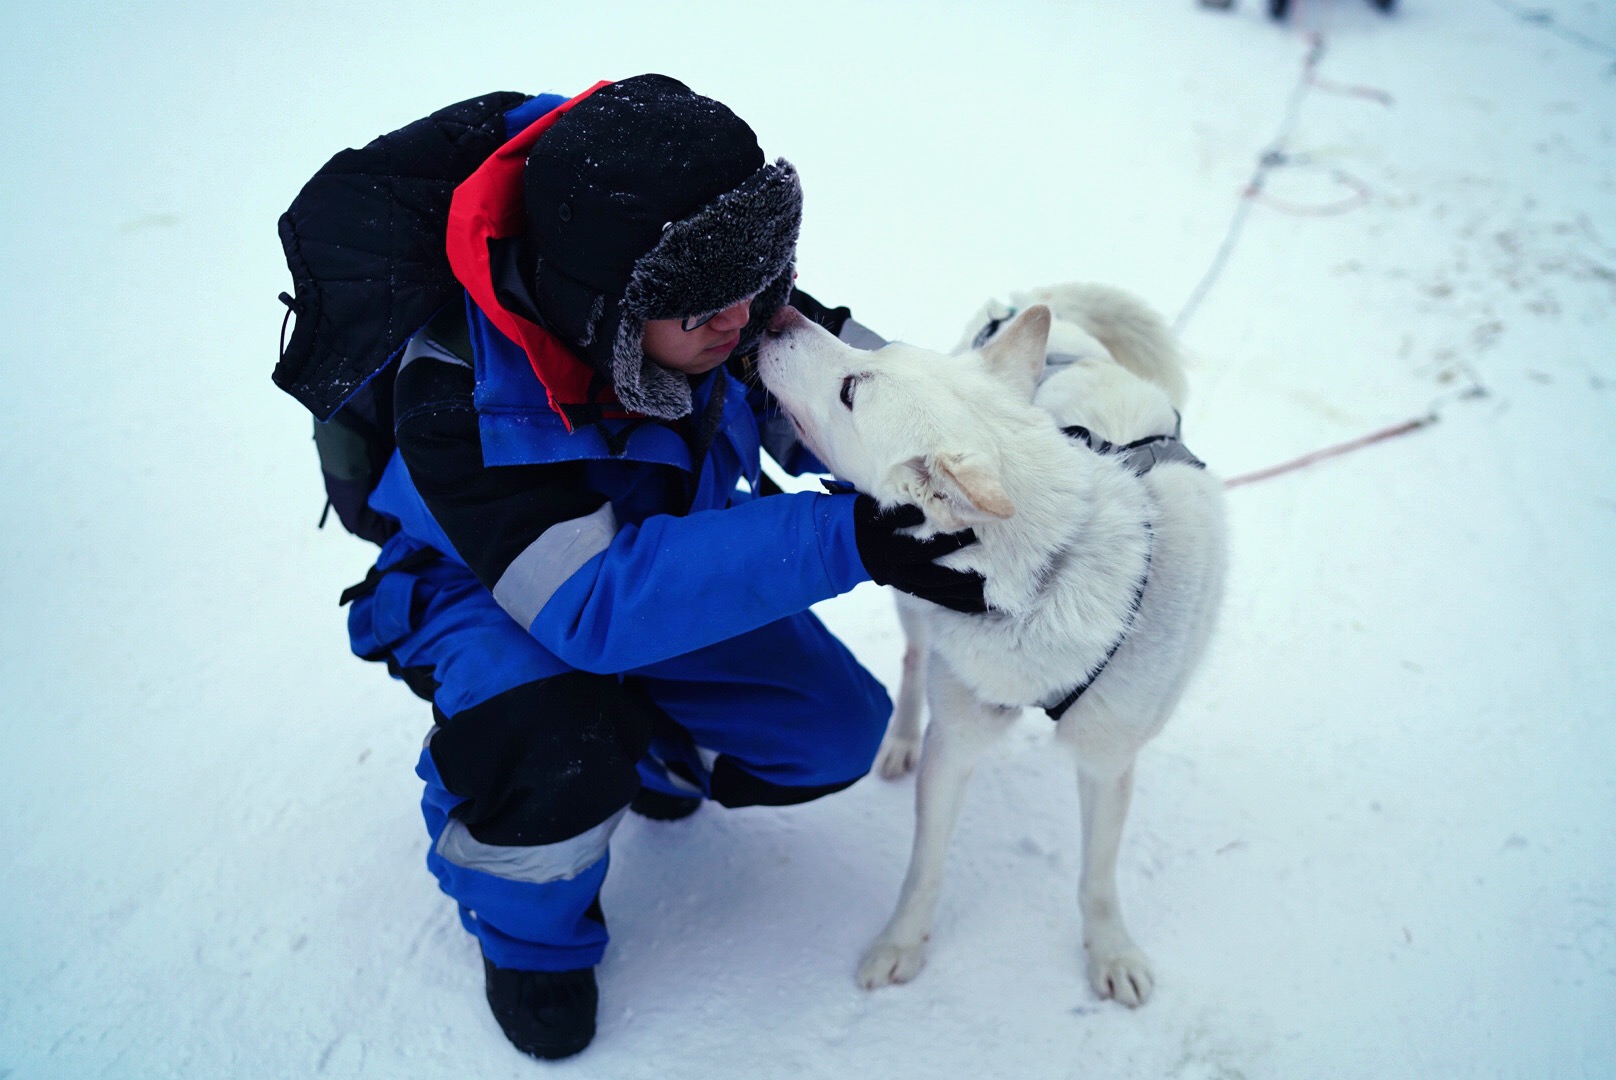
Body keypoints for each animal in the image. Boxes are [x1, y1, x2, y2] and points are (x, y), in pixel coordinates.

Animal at [756, 281, 1221, 1002]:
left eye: (851, 388)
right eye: (876, 354)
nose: (777, 311)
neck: (1049, 582)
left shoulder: (1106, 757)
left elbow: (1097, 877)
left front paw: (1110, 951)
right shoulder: (956, 739)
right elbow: (924, 868)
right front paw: (900, 945)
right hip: (909, 606)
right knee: (915, 659)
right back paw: (899, 740)